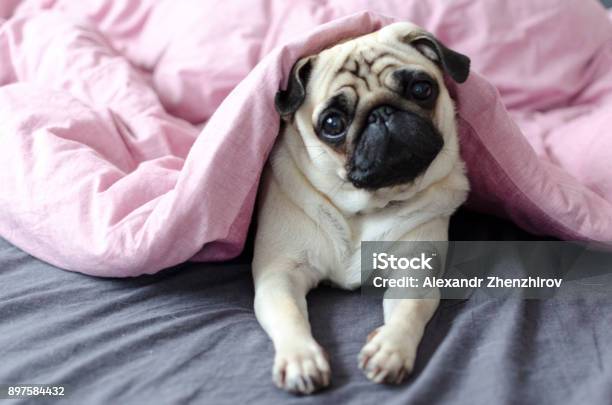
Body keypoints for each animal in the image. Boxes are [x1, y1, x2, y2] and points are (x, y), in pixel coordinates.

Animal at [251, 21, 470, 392]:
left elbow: (410, 308)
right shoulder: (279, 273)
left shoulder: (413, 270)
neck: (364, 207)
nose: (381, 113)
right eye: (332, 124)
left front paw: (391, 348)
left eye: (421, 89)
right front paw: (300, 358)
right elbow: (288, 312)